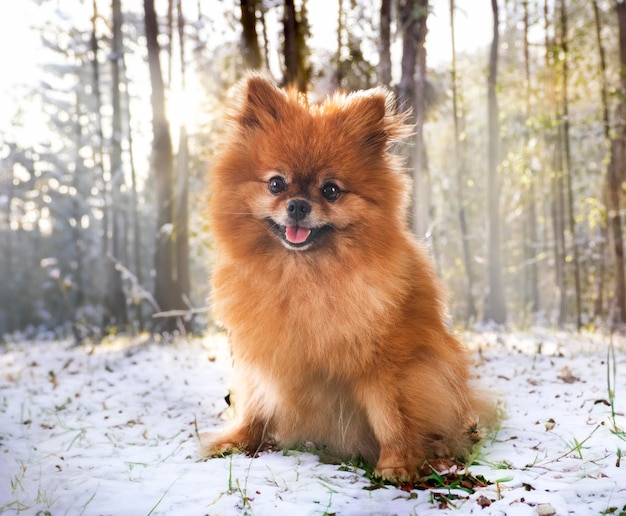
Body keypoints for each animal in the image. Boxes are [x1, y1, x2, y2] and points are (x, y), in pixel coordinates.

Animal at [202, 74, 490, 482]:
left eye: (331, 190)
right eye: (276, 184)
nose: (298, 205)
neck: (303, 278)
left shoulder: (388, 365)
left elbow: (391, 417)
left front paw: (397, 464)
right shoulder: (264, 352)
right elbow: (255, 404)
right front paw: (238, 441)